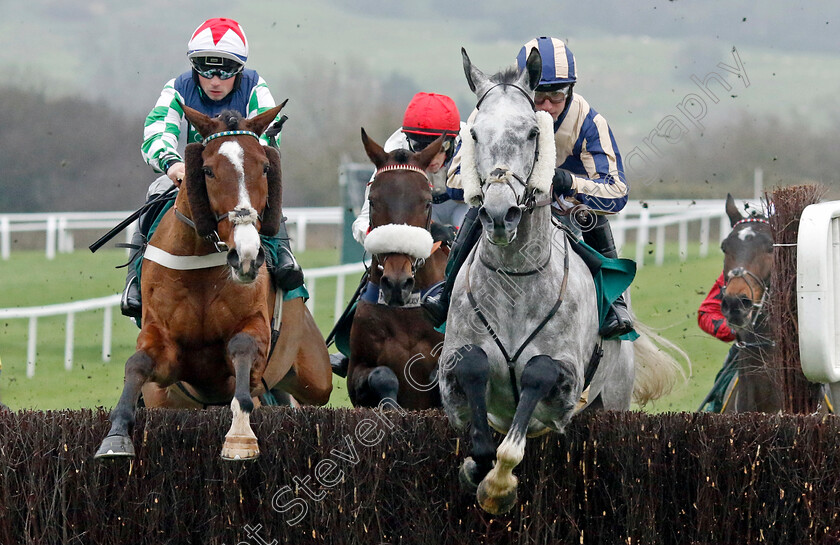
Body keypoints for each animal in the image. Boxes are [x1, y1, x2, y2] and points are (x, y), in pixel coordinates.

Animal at [96, 101, 332, 460]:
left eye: (265, 167)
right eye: (207, 171)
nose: (246, 255)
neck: (201, 265)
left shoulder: (255, 333)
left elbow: (242, 352)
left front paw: (240, 436)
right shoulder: (163, 344)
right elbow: (137, 364)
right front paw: (116, 436)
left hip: (315, 373)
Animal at [436, 47, 684, 516]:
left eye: (534, 132)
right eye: (474, 133)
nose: (500, 214)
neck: (515, 280)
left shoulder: (565, 375)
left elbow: (537, 375)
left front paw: (499, 486)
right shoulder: (454, 366)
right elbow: (473, 370)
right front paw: (477, 468)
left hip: (612, 398)